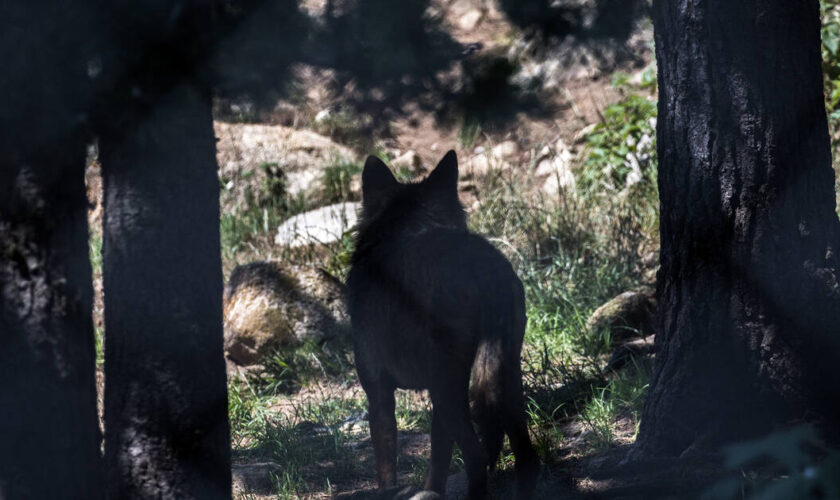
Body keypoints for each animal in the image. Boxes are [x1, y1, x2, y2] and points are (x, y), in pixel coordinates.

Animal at [346, 150, 540, 498]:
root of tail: (482, 263)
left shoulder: (379, 392)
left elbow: (386, 469)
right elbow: (438, 462)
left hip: (448, 388)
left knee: (478, 458)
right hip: (502, 376)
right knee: (527, 458)